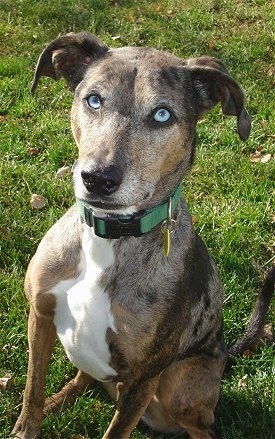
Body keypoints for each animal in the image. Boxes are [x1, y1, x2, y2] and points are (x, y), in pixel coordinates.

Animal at [11, 31, 274, 439]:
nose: (98, 179)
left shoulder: (143, 377)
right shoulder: (39, 316)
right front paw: (30, 422)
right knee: (83, 378)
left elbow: (116, 430)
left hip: (180, 384)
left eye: (162, 114)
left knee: (205, 427)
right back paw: (61, 400)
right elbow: (31, 393)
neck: (109, 238)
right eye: (94, 99)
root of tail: (225, 355)